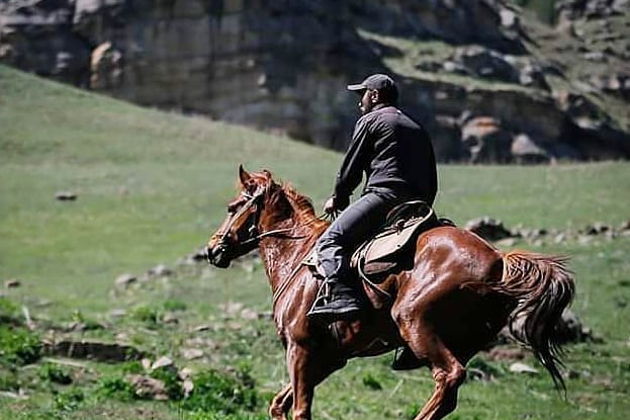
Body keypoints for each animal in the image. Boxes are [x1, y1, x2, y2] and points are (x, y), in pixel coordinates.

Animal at [207, 167, 576, 420]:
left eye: (232, 206)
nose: (212, 249)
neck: (298, 255)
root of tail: (499, 261)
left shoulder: (300, 348)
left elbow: (299, 410)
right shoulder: (330, 357)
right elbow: (279, 404)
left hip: (414, 322)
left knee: (449, 376)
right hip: (464, 340)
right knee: (449, 393)